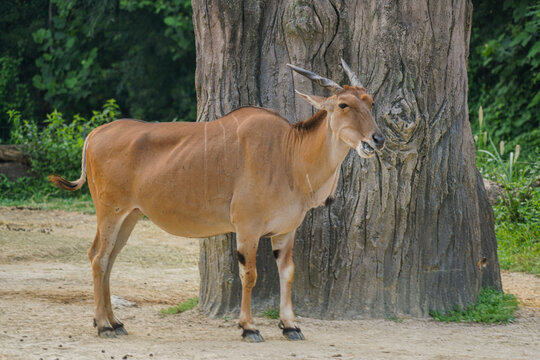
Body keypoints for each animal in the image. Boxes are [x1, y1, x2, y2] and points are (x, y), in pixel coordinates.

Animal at [47, 59, 384, 344]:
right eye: (343, 104)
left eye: (370, 103)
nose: (377, 140)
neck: (289, 153)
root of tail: (94, 134)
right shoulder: (247, 228)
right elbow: (249, 275)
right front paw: (249, 327)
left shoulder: (285, 231)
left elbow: (287, 273)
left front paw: (290, 326)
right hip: (110, 212)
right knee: (98, 257)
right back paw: (104, 325)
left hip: (129, 215)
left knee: (109, 258)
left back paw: (114, 322)